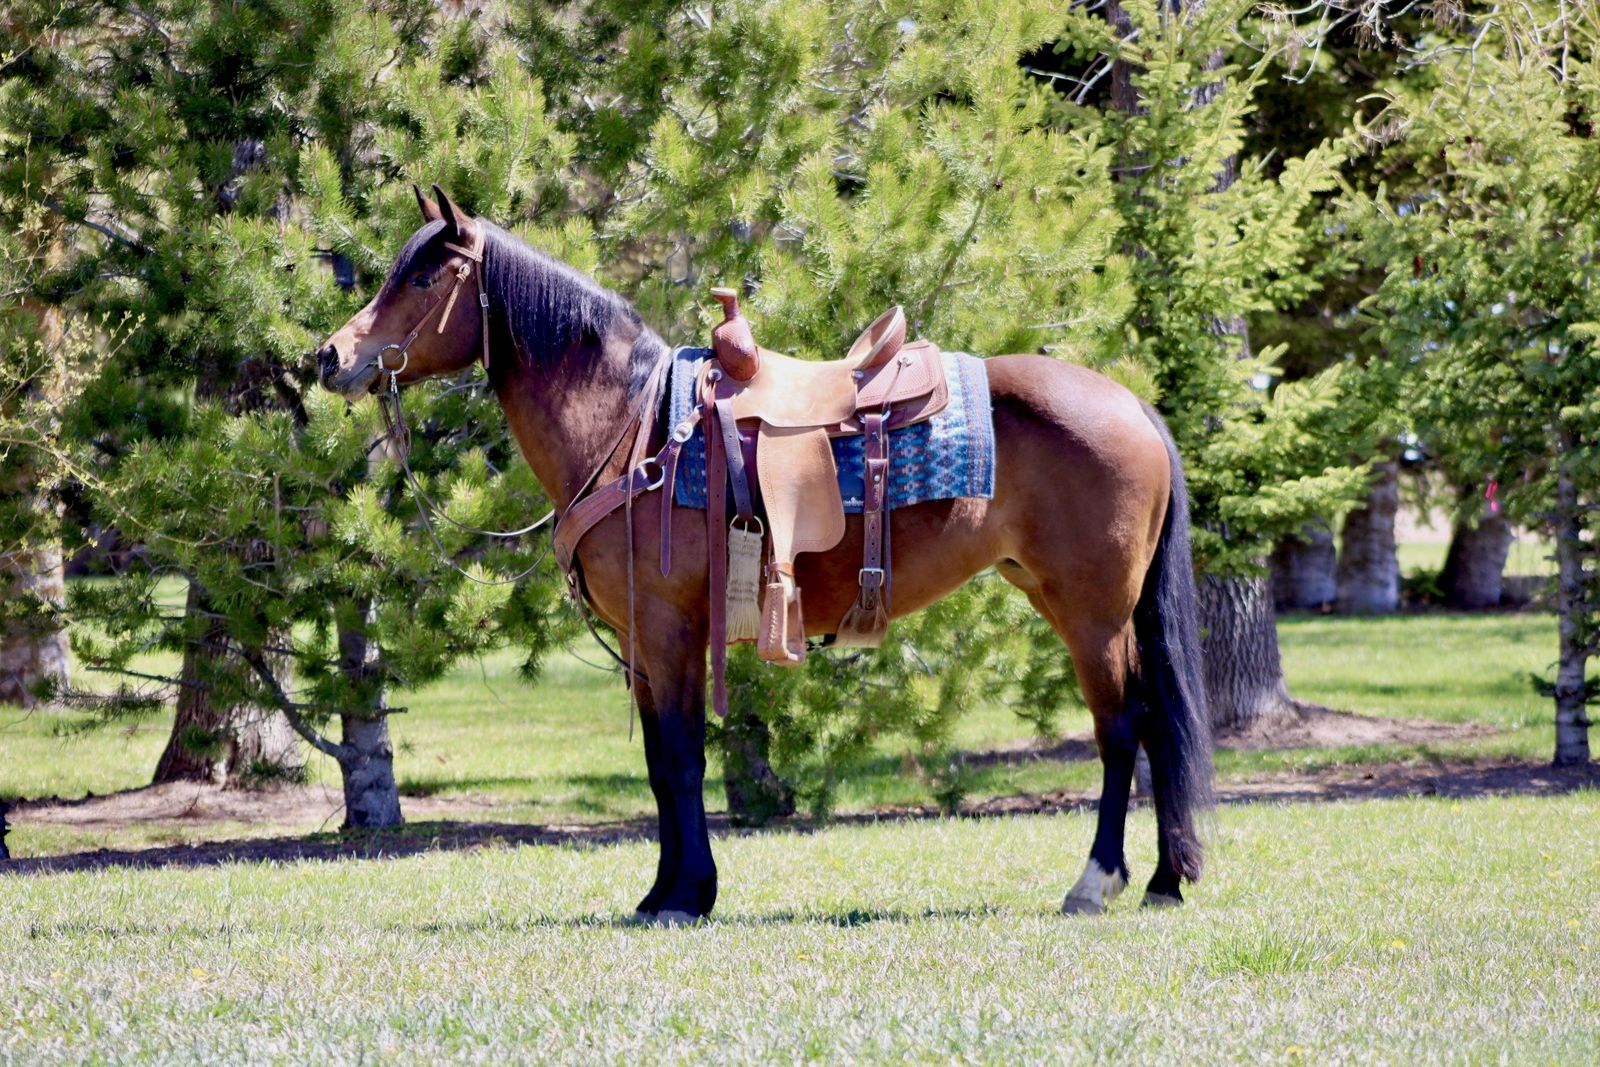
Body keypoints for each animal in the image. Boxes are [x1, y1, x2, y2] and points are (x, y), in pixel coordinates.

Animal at [316, 185, 1213, 924]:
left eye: (426, 279)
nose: (331, 356)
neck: (634, 428)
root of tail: (1131, 402)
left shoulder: (672, 632)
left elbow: (682, 760)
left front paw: (687, 896)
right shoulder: (644, 644)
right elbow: (659, 762)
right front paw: (663, 891)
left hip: (1091, 613)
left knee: (1124, 727)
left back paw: (1097, 882)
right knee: (1153, 727)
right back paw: (1166, 879)